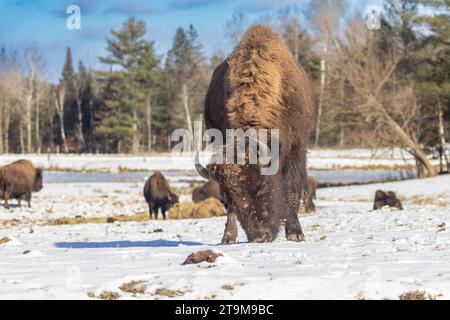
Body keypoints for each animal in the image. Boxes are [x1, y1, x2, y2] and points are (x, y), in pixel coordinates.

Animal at [195, 25, 314, 244]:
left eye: (261, 187)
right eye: (228, 195)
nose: (260, 236)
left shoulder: (296, 149)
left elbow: (291, 189)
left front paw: (295, 233)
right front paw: (228, 237)